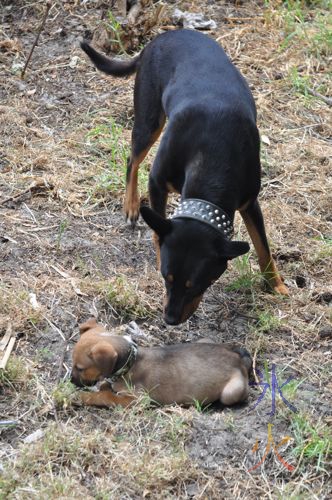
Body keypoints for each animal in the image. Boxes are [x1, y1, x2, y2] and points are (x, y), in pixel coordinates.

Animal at [70, 318, 252, 408]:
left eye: (80, 368)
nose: (71, 382)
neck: (131, 361)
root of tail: (238, 359)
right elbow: (106, 387)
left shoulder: (139, 400)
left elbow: (107, 397)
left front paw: (83, 396)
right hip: (205, 340)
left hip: (231, 392)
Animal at [81, 28, 288, 324]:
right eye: (166, 278)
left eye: (198, 284)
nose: (169, 319)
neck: (213, 157)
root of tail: (163, 36)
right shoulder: (157, 182)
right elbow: (158, 235)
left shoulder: (250, 202)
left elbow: (263, 247)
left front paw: (276, 285)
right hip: (149, 119)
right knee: (132, 159)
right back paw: (131, 205)